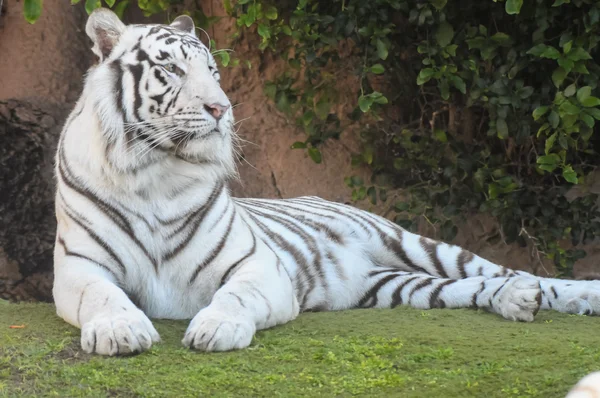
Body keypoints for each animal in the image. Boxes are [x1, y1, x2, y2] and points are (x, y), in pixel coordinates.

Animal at [54, 7, 600, 354]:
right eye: (169, 68)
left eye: (213, 70)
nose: (221, 108)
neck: (158, 172)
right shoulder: (79, 267)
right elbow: (102, 295)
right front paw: (120, 331)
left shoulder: (257, 266)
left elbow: (235, 296)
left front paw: (217, 328)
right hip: (389, 286)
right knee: (468, 287)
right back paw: (514, 302)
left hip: (412, 242)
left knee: (510, 272)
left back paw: (567, 295)